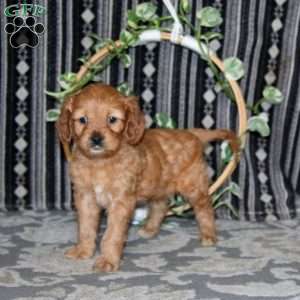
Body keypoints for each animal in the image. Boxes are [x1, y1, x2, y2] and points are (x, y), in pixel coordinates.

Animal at [56, 82, 239, 272]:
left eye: (112, 119)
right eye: (82, 120)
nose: (96, 139)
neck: (99, 162)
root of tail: (192, 134)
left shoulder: (121, 201)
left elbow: (112, 234)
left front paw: (108, 260)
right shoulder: (85, 198)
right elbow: (85, 228)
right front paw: (83, 250)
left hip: (193, 186)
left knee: (205, 208)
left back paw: (209, 235)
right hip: (159, 185)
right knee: (161, 205)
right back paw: (150, 229)